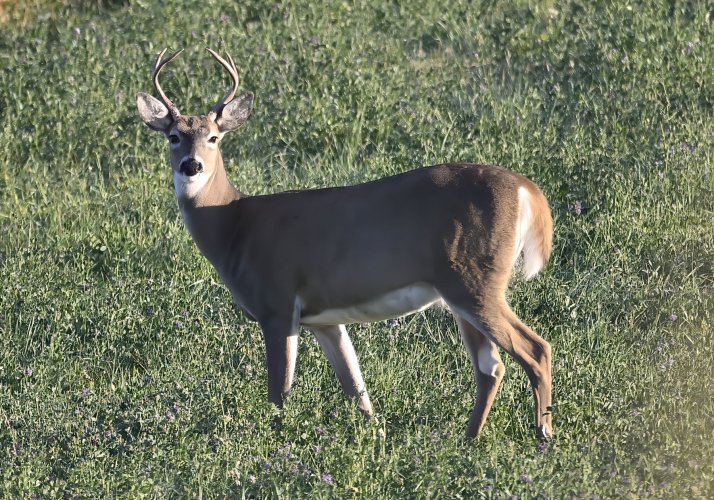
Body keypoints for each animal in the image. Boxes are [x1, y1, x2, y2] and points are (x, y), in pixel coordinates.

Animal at [136, 47, 552, 438]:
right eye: (174, 136)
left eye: (214, 136)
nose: (192, 165)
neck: (233, 224)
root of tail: (527, 189)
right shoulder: (325, 319)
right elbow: (357, 389)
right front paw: (376, 437)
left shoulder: (276, 303)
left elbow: (279, 393)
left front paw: (276, 441)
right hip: (461, 290)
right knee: (491, 366)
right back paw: (467, 440)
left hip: (473, 279)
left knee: (534, 349)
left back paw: (542, 434)